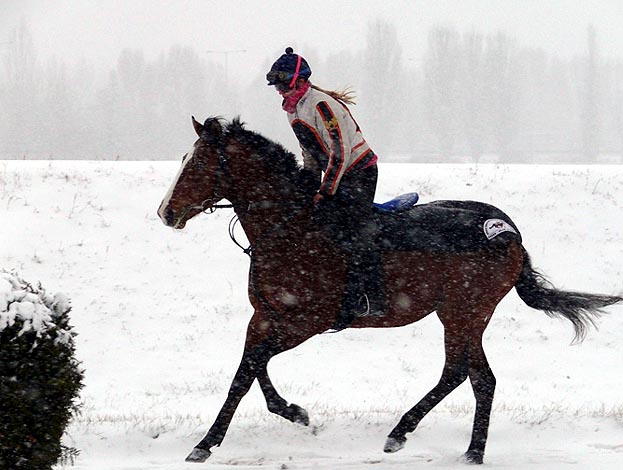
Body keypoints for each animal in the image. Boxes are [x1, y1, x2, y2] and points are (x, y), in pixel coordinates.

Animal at [157, 116, 623, 462]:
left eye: (196, 164)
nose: (166, 212)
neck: (293, 227)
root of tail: (507, 230)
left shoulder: (308, 321)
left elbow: (251, 369)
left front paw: (210, 442)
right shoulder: (265, 316)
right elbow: (248, 373)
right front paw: (287, 414)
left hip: (466, 312)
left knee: (467, 374)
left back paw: (424, 438)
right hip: (461, 314)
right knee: (473, 375)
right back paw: (451, 444)